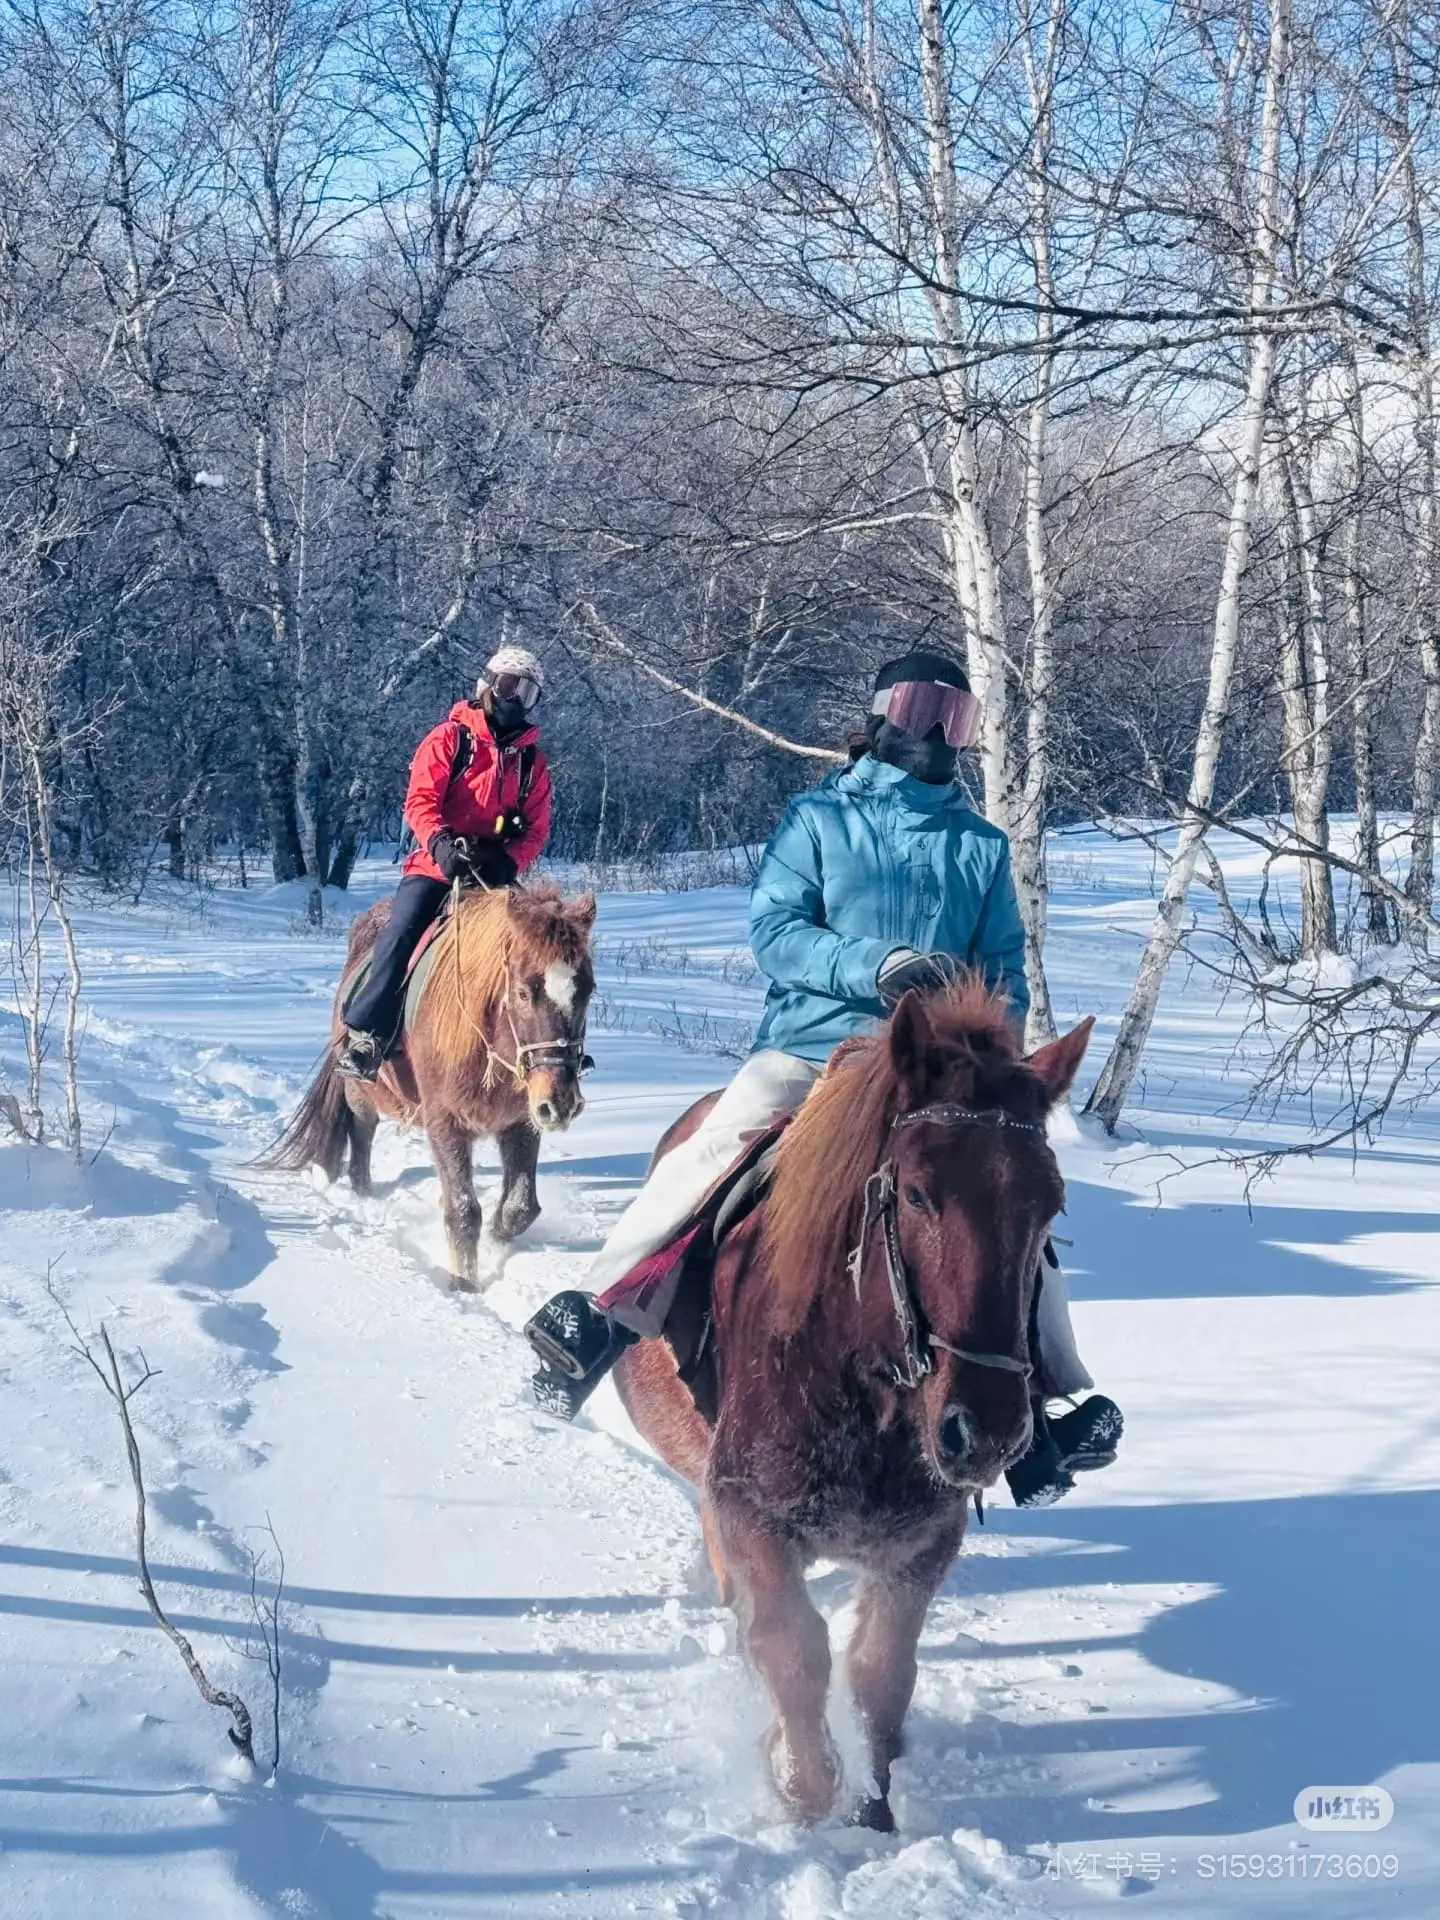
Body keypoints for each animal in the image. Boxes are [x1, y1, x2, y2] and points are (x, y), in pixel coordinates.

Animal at [262, 882, 597, 1286]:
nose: (561, 1102)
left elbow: (520, 1207)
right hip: (360, 1094)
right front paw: (463, 1282)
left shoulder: (521, 1122)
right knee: (362, 1136)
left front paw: (496, 1241)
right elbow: (463, 1210)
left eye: (588, 991)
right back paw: (364, 1195)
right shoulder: (445, 1122)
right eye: (522, 991)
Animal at [614, 980, 1093, 1831]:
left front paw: (876, 1810)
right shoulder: (752, 1517)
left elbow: (881, 1674)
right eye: (917, 1192)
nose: (987, 1431)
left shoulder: (922, 1546)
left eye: (1052, 1207)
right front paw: (800, 1792)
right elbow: (792, 1651)